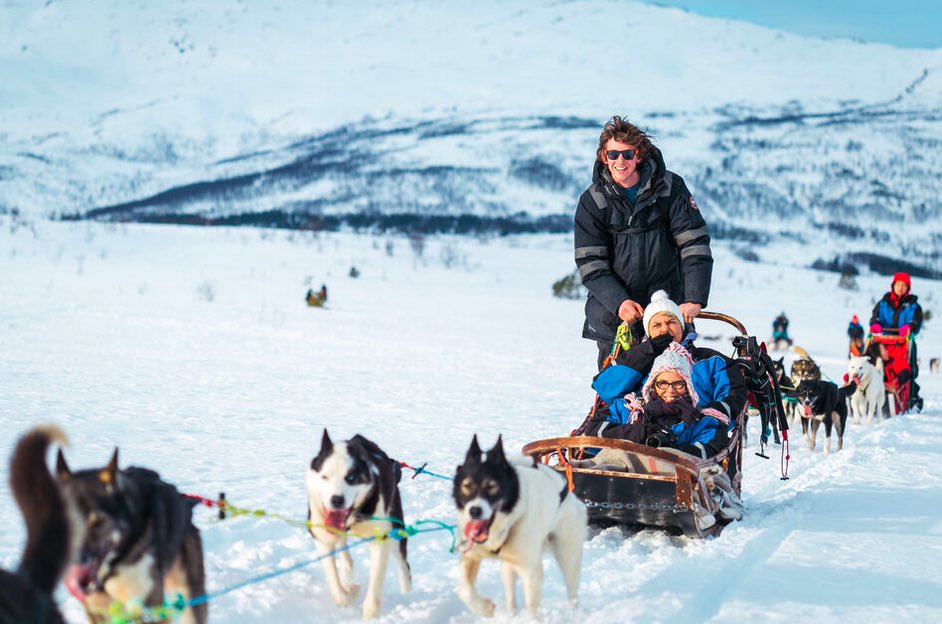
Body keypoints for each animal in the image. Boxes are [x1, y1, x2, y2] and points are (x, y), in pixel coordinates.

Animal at [308, 432, 412, 620]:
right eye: (325, 476)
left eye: (351, 478)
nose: (336, 499)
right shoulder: (322, 537)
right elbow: (337, 588)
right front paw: (349, 593)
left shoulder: (380, 540)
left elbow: (375, 584)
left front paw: (370, 613)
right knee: (346, 556)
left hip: (396, 529)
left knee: (403, 565)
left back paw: (407, 594)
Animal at [454, 436, 588, 616]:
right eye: (466, 486)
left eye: (492, 486)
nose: (474, 511)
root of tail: (571, 497)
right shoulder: (471, 555)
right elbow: (464, 591)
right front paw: (485, 609)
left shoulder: (531, 569)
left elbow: (532, 608)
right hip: (510, 564)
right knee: (509, 587)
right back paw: (510, 613)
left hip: (567, 556)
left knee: (572, 590)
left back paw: (572, 613)